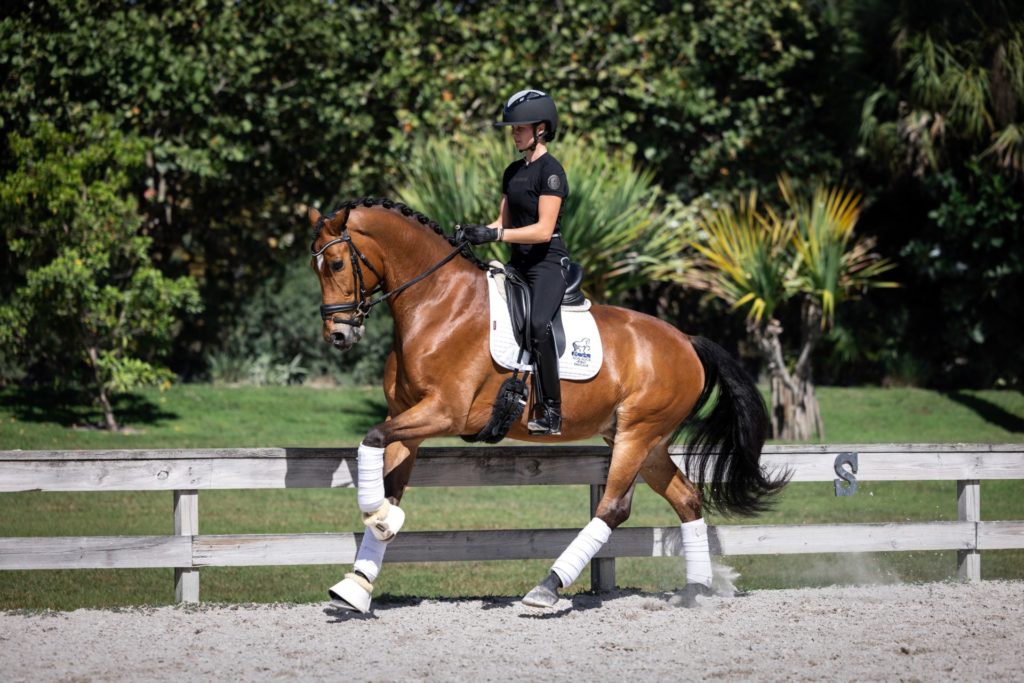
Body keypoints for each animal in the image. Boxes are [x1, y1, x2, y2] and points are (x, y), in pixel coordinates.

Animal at [307, 197, 786, 614]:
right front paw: (358, 582)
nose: (339, 335)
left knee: (613, 508)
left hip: (637, 433)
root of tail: (686, 340)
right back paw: (696, 590)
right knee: (686, 498)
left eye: (337, 264)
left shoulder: (445, 412)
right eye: (316, 267)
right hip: (643, 441)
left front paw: (377, 516)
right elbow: (388, 475)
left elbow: (370, 439)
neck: (437, 304)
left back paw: (547, 588)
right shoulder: (407, 419)